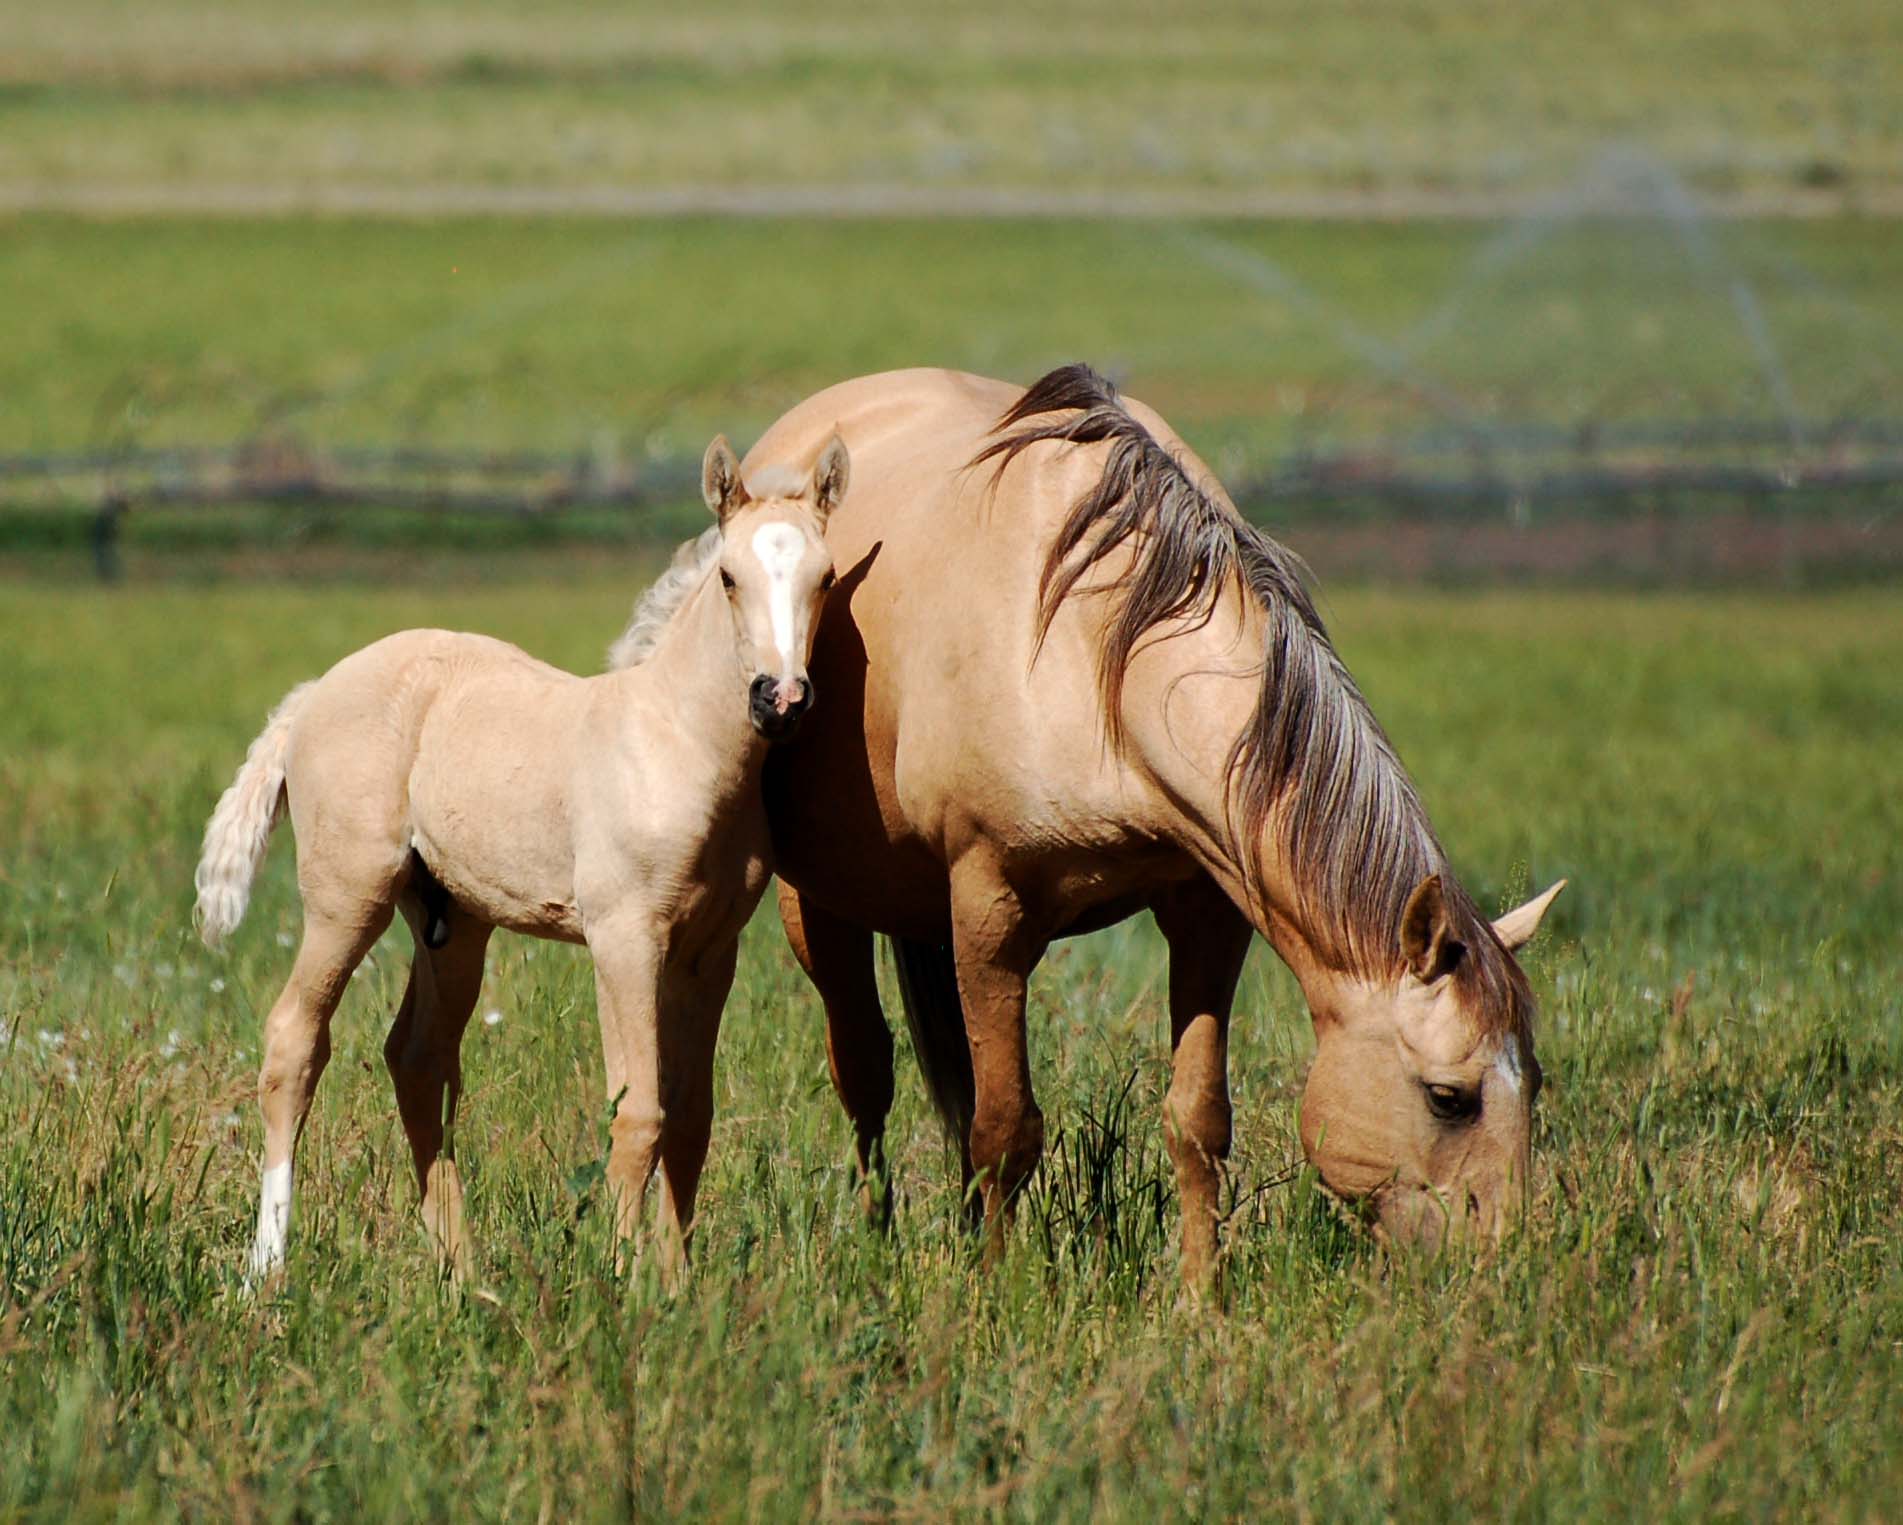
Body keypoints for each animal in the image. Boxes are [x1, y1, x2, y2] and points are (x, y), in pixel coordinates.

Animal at [195, 432, 847, 1284]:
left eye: (825, 577)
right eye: (730, 577)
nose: (781, 699)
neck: (674, 742)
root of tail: (312, 695)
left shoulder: (709, 951)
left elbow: (689, 1115)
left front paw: (676, 1285)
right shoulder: (622, 937)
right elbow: (638, 1112)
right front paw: (621, 1279)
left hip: (453, 921)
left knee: (418, 1059)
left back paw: (464, 1276)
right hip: (347, 898)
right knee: (294, 1041)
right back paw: (265, 1267)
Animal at [622, 365, 1564, 1280]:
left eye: (1536, 1079)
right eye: (1448, 1096)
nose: (1503, 1269)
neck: (1094, 656)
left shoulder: (1206, 911)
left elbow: (1196, 1120)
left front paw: (1199, 1298)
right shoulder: (989, 912)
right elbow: (1004, 1129)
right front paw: (998, 1296)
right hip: (823, 907)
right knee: (865, 1077)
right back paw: (882, 1248)